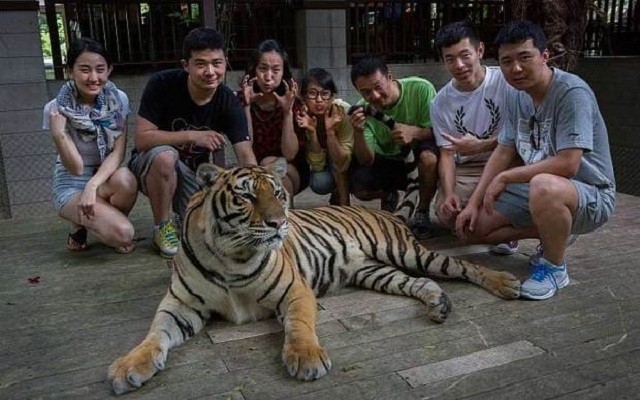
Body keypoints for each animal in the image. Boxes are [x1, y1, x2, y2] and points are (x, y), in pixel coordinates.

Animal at [109, 157, 520, 394]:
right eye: (246, 197)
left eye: (278, 193)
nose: (279, 223)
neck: (231, 256)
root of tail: (385, 212)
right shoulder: (179, 305)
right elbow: (154, 335)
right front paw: (129, 367)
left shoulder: (295, 291)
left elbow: (300, 325)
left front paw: (306, 359)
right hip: (375, 271)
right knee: (420, 282)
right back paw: (438, 305)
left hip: (405, 251)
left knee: (459, 266)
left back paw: (506, 284)